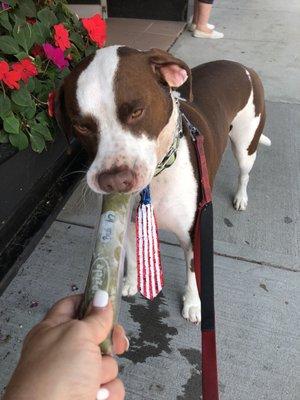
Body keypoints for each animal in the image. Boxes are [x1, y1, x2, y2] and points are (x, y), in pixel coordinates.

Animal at [55, 45, 270, 324]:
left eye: (137, 112)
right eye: (81, 126)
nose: (113, 180)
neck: (158, 176)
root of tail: (242, 66)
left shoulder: (195, 234)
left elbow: (193, 272)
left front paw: (193, 304)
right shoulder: (128, 224)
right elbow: (130, 257)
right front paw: (130, 283)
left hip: (246, 147)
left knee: (244, 173)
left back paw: (241, 197)